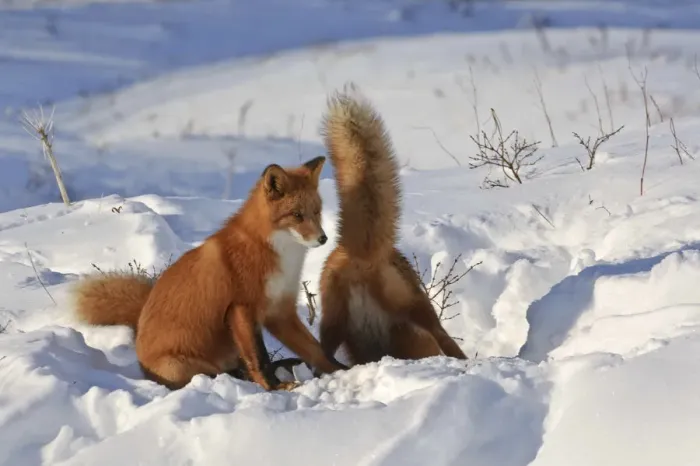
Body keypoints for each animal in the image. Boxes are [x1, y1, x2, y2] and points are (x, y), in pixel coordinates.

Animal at [72, 155, 347, 391]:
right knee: (224, 373)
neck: (274, 253)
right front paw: (274, 388)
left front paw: (343, 370)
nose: (323, 239)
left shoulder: (280, 311)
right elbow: (260, 359)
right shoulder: (242, 308)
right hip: (186, 366)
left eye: (317, 212)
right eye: (297, 215)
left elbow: (316, 350)